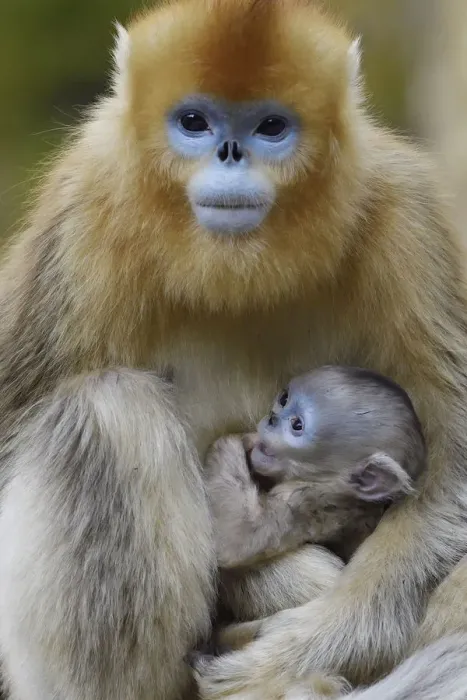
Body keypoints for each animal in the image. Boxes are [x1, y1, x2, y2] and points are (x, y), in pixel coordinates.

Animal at [2, 0, 467, 698]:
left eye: (271, 126)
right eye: (195, 122)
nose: (230, 152)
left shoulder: (404, 213)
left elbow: (453, 471)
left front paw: (297, 650)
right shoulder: (84, 210)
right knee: (109, 409)